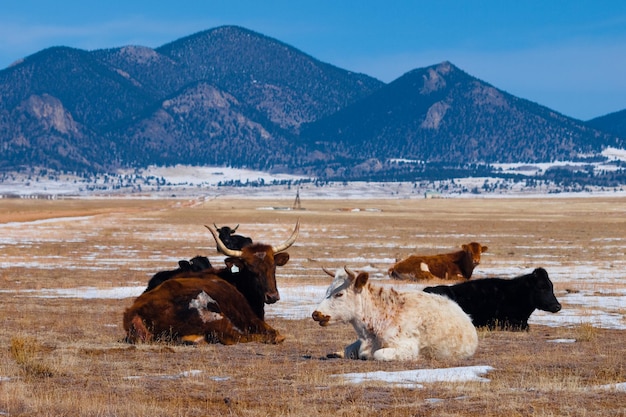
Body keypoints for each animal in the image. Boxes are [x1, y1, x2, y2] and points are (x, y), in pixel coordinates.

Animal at [123, 221, 298, 344]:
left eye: (273, 267)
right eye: (250, 269)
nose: (272, 296)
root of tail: (135, 313)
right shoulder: (250, 318)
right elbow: (273, 333)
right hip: (211, 313)